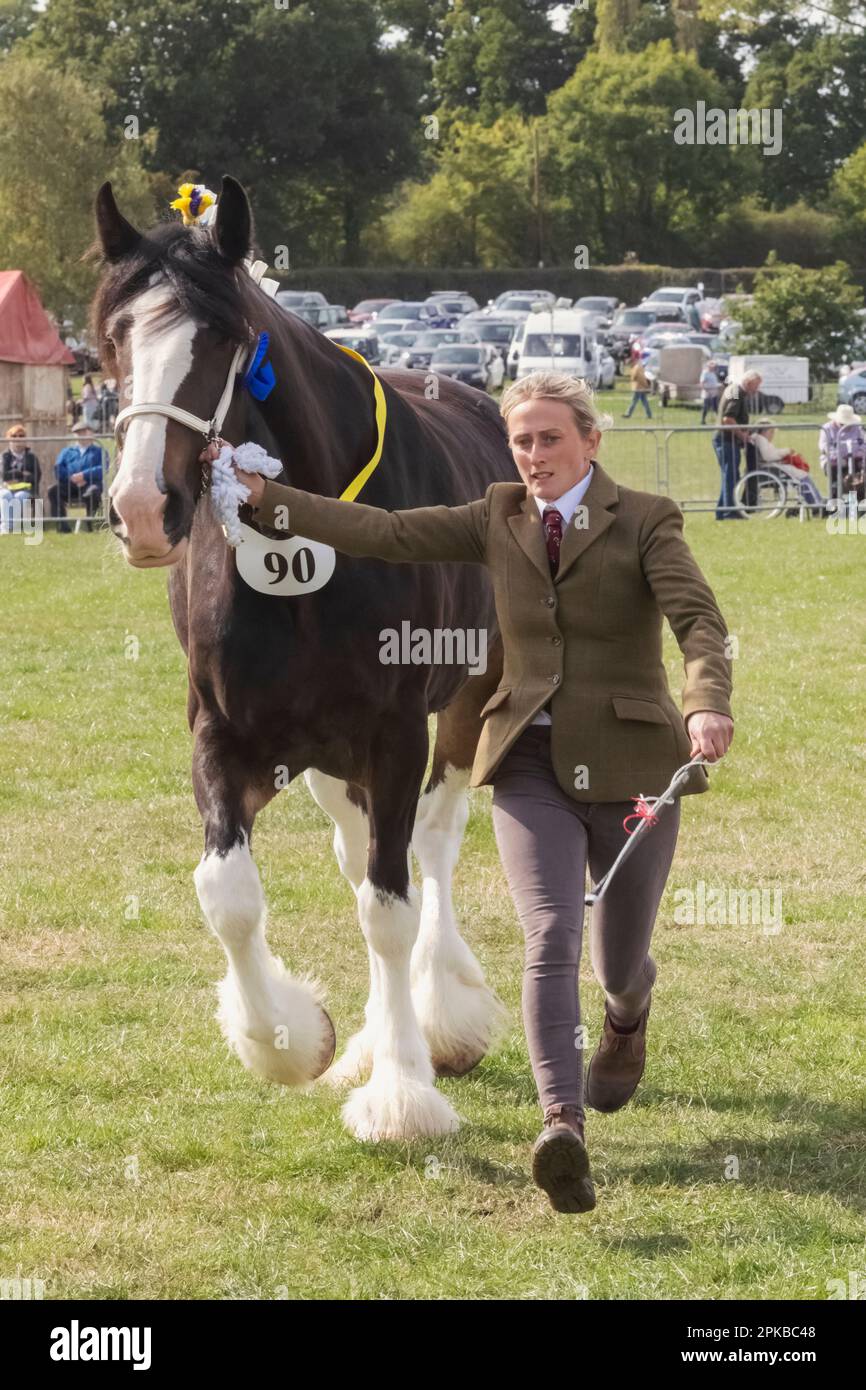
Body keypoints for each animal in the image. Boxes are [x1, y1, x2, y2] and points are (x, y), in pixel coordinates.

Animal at [90, 174, 517, 1141]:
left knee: (431, 844)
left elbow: (390, 905)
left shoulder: (396, 734)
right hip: (327, 753)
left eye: (224, 339)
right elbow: (228, 894)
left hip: (469, 700)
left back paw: (441, 1014)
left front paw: (402, 1089)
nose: (141, 507)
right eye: (113, 337)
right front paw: (290, 1039)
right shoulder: (224, 735)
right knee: (358, 851)